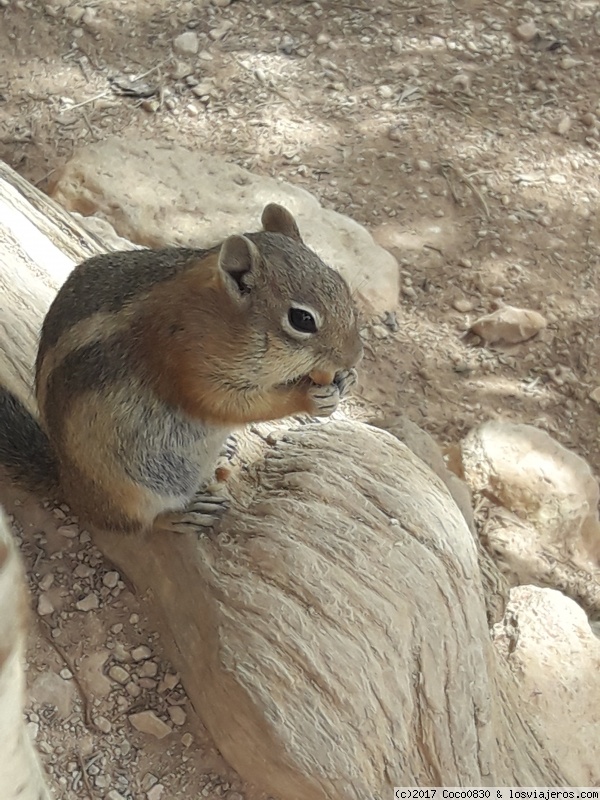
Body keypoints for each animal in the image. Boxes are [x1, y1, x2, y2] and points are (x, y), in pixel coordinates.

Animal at [0, 203, 364, 536]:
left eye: (342, 283)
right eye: (302, 319)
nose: (355, 355)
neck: (217, 316)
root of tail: (67, 482)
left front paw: (345, 380)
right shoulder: (189, 366)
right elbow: (233, 405)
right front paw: (309, 398)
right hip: (131, 491)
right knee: (140, 524)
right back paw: (184, 514)